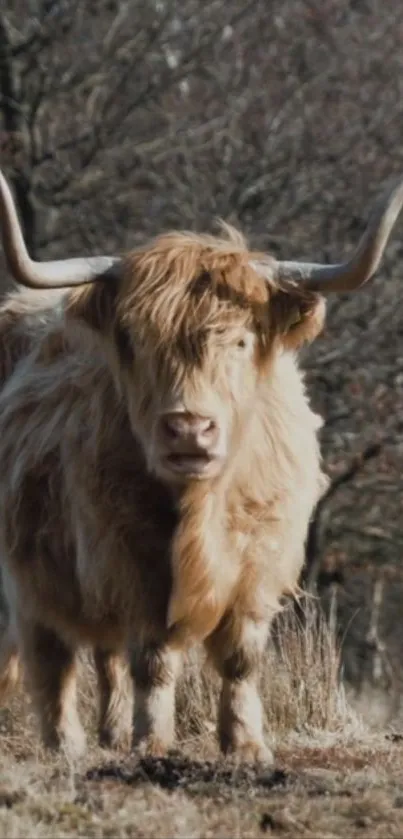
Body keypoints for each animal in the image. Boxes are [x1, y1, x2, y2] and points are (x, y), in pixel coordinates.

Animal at [0, 169, 400, 760]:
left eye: (240, 340)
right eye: (135, 342)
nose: (188, 428)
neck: (201, 502)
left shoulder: (260, 558)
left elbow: (241, 659)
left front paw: (247, 744)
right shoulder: (130, 558)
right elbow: (153, 660)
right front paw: (152, 742)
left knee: (104, 657)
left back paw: (110, 735)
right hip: (31, 569)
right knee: (54, 656)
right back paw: (66, 745)